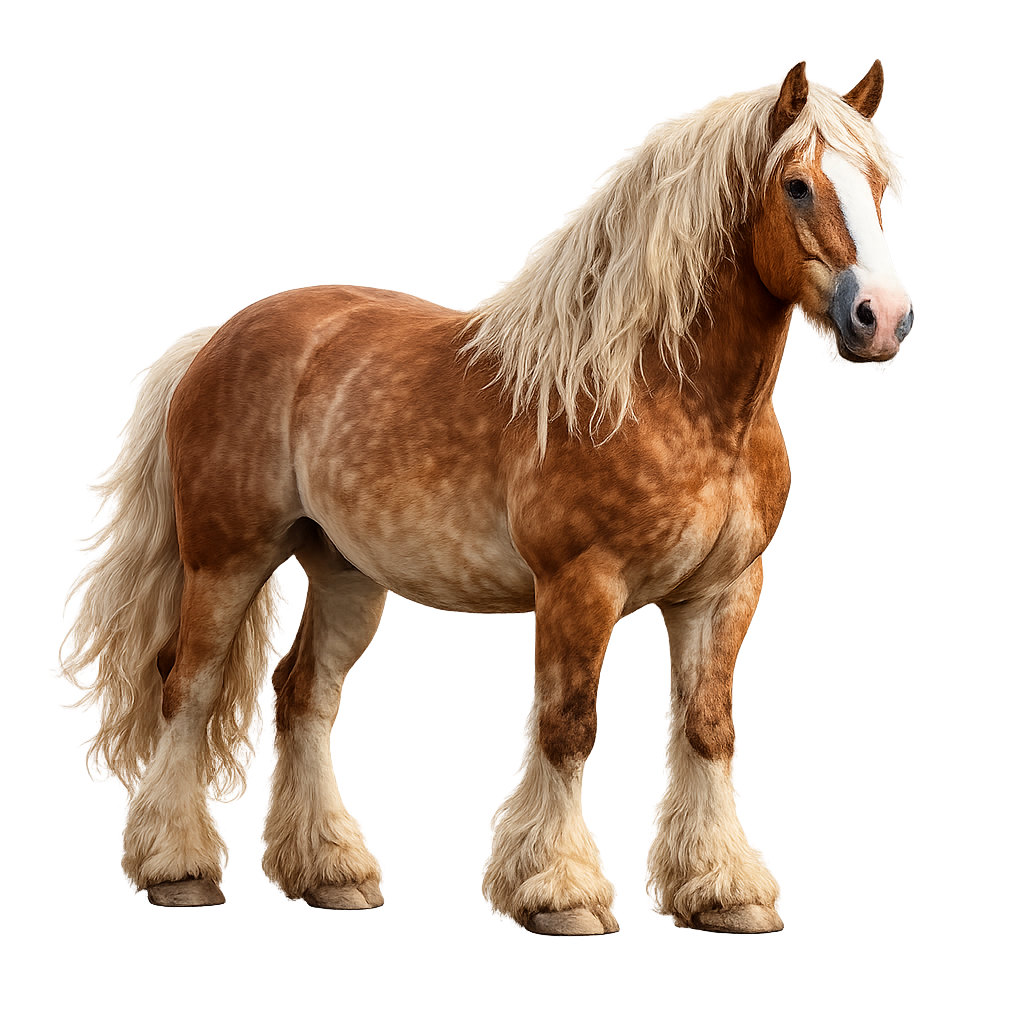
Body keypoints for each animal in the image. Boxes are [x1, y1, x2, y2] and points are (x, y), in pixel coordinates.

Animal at [67, 60, 913, 936]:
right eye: (797, 185)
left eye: (880, 182)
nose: (882, 318)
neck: (665, 392)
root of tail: (212, 342)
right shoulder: (582, 586)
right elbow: (569, 727)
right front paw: (562, 892)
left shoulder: (722, 592)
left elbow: (708, 729)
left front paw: (726, 891)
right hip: (228, 560)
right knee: (188, 687)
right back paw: (178, 869)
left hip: (342, 573)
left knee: (303, 697)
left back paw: (333, 872)